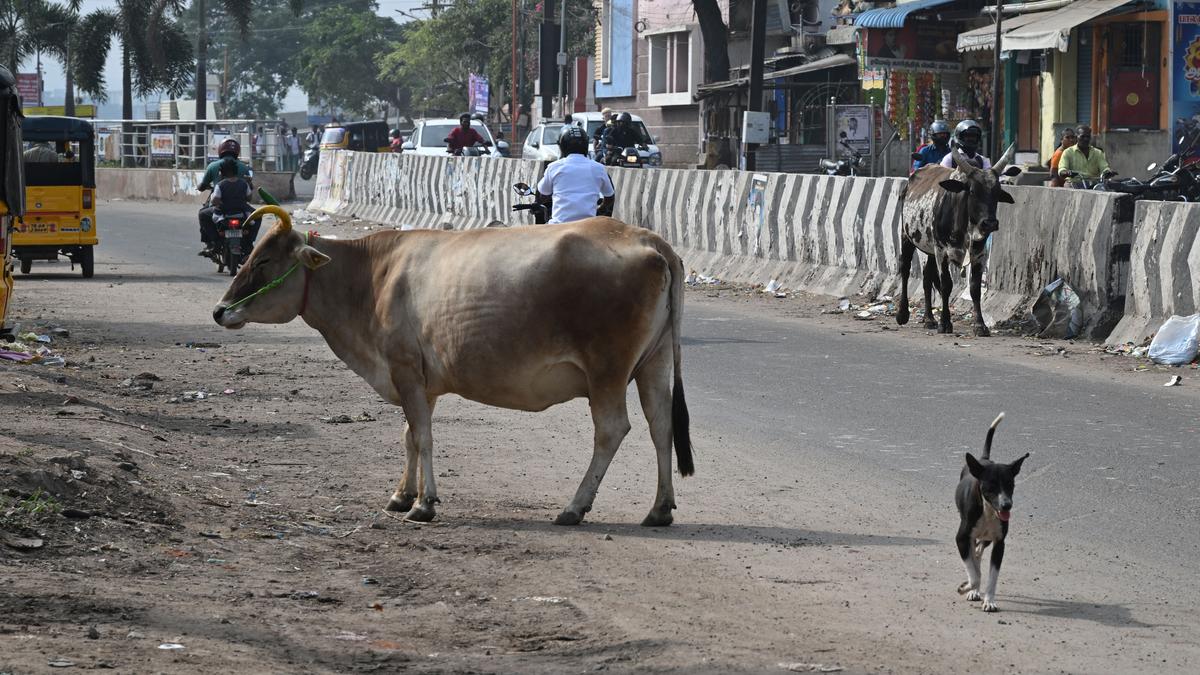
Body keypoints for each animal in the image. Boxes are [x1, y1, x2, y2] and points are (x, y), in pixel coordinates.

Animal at [213, 206, 696, 526]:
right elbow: (409, 435)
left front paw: (424, 504)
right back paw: (659, 508)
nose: (220, 311)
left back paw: (574, 507)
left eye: (264, 260)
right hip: (653, 365)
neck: (371, 276)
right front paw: (402, 495)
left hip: (607, 372)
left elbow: (423, 437)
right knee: (661, 426)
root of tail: (648, 239)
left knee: (613, 430)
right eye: (252, 255)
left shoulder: (405, 369)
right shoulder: (419, 381)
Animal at [897, 147, 1017, 336]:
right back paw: (903, 314)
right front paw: (945, 323)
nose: (990, 223)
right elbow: (946, 284)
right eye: (972, 191)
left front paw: (980, 325)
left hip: (929, 251)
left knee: (927, 277)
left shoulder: (979, 253)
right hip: (907, 237)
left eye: (997, 192)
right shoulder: (941, 251)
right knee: (905, 268)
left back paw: (929, 319)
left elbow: (975, 288)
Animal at [955, 410, 1032, 610]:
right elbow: (974, 574)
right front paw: (966, 587)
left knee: (979, 552)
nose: (1006, 505)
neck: (988, 512)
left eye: (1010, 484)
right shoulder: (961, 538)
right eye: (991, 486)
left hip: (987, 539)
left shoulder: (999, 543)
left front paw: (989, 600)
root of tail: (984, 460)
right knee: (975, 558)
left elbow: (992, 576)